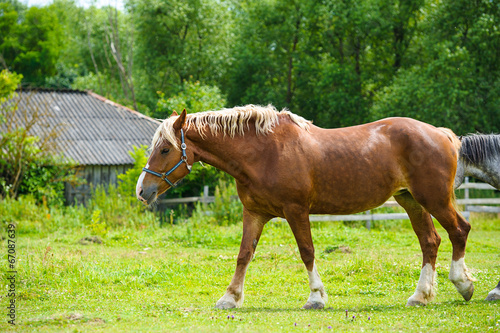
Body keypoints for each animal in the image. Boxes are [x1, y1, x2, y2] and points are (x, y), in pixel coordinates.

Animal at [136, 105, 472, 308]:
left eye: (164, 149)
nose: (142, 190)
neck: (264, 152)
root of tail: (441, 133)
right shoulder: (254, 213)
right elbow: (244, 255)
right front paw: (230, 298)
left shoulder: (296, 210)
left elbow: (306, 251)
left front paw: (316, 297)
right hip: (411, 200)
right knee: (430, 241)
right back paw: (421, 295)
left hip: (434, 199)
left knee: (459, 230)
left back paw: (463, 284)